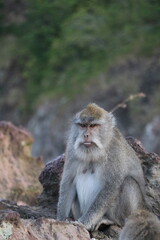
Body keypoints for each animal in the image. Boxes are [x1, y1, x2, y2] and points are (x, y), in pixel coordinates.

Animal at [56, 102, 148, 231]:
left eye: (93, 125)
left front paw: (84, 222)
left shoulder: (114, 151)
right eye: (83, 125)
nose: (86, 135)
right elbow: (68, 182)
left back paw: (112, 220)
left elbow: (111, 185)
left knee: (128, 182)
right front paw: (60, 219)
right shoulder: (71, 149)